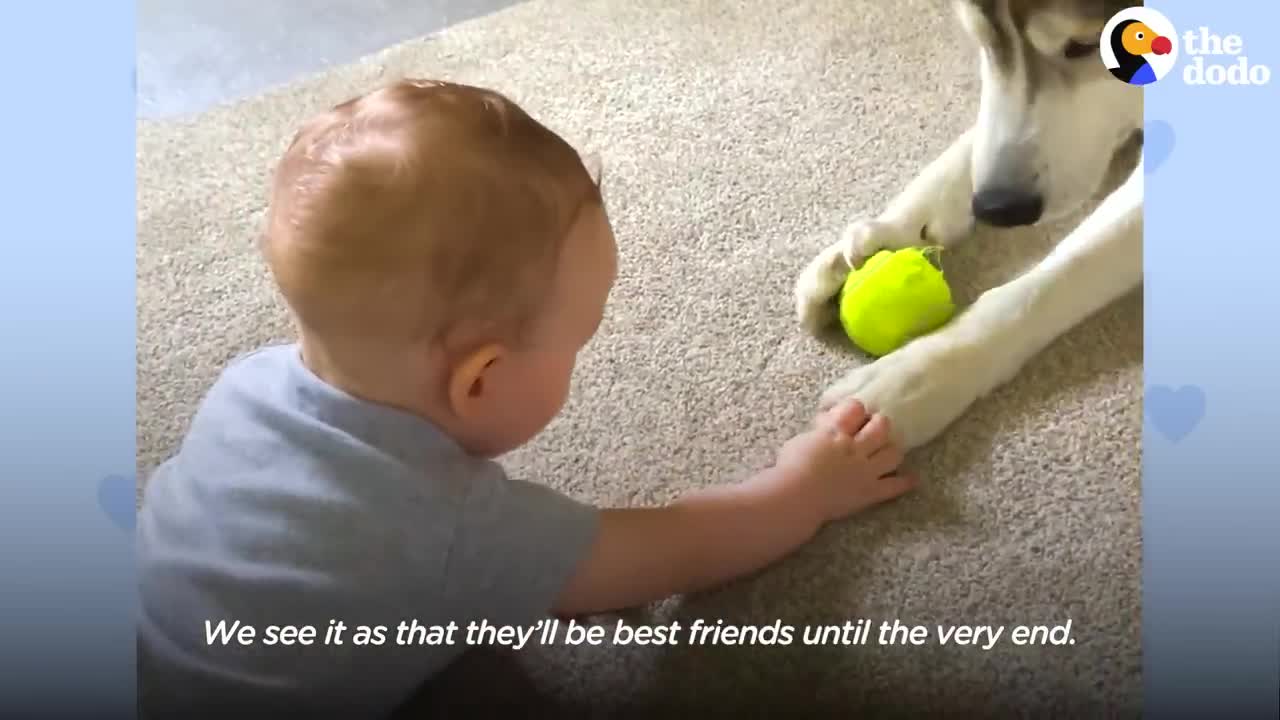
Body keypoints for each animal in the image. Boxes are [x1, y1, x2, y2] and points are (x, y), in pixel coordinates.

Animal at [793, 0, 1146, 448]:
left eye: (1084, 46)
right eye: (978, 39)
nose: (999, 208)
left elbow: (1062, 274)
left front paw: (922, 371)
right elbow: (971, 146)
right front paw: (886, 232)